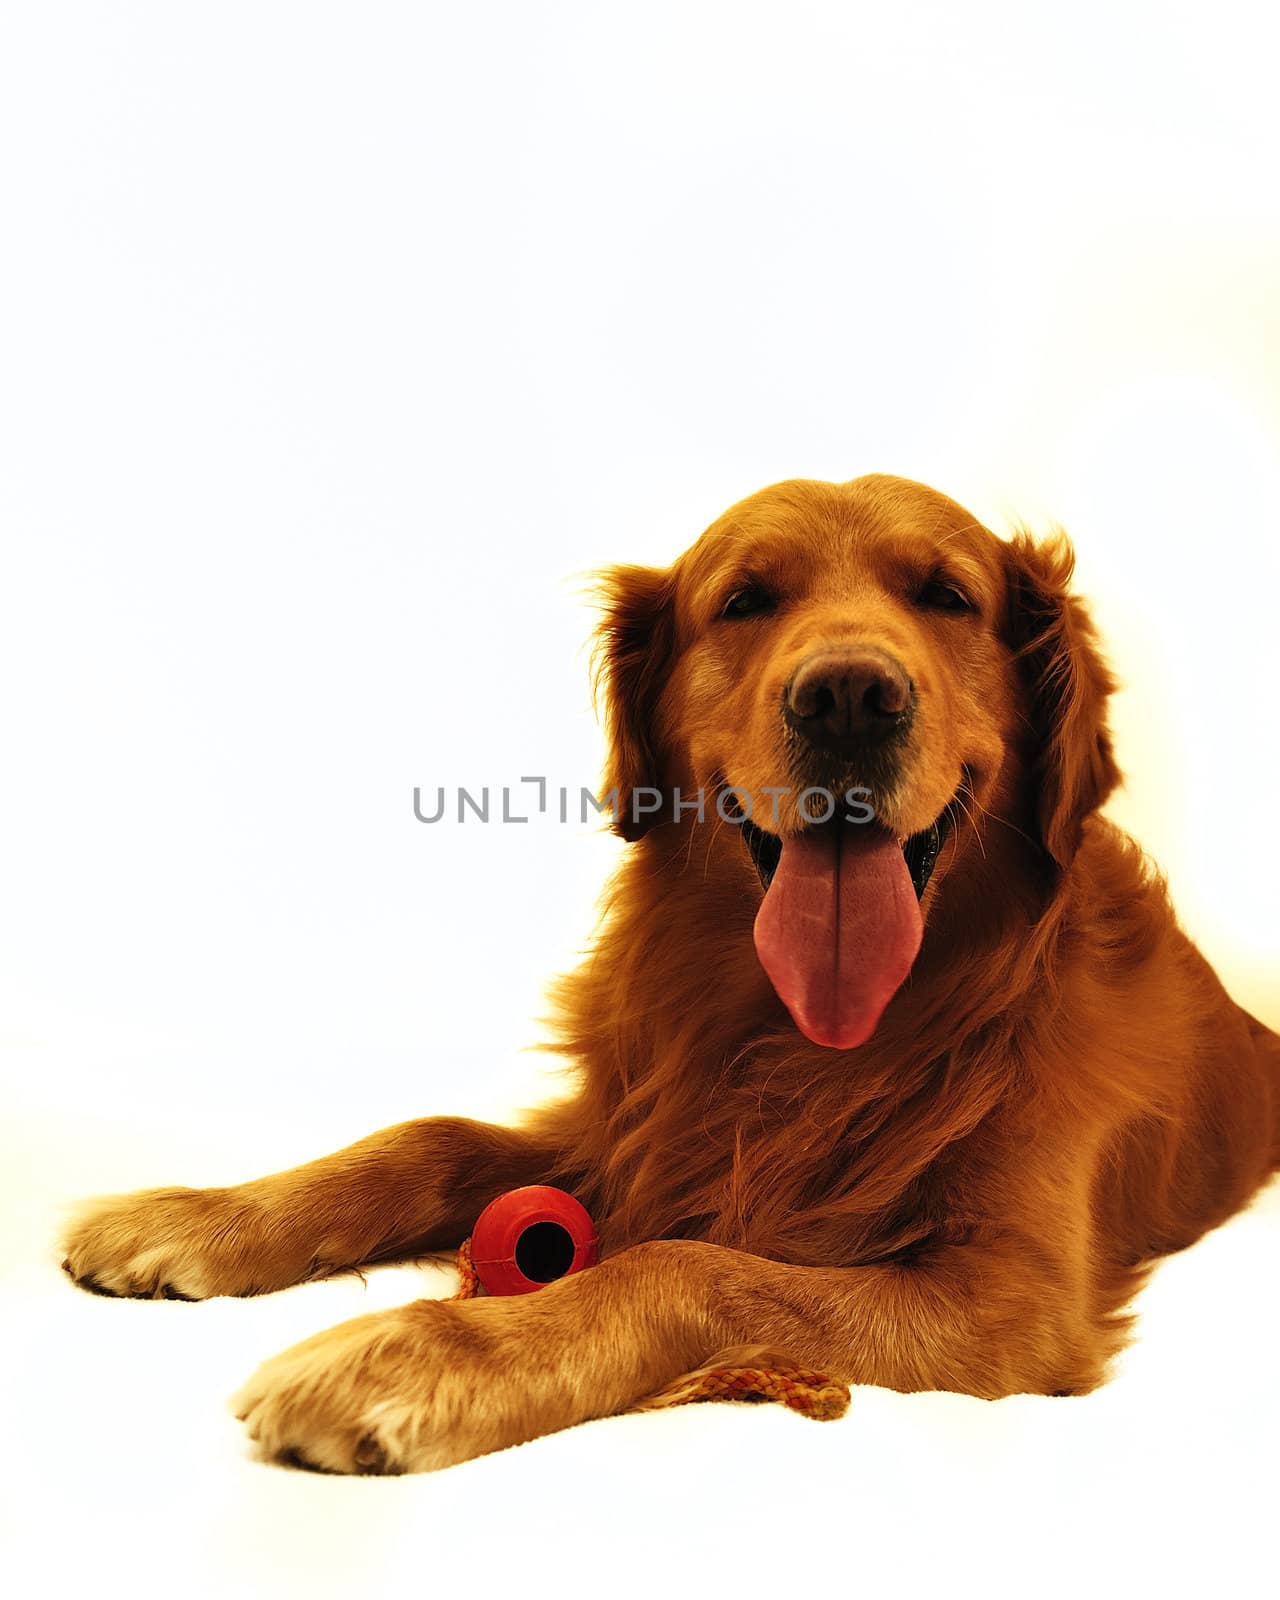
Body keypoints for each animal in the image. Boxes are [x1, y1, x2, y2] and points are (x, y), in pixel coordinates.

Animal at [62, 473, 1280, 1472]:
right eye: (743, 601)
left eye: (946, 596)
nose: (848, 696)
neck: (809, 1038)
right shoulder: (633, 1127)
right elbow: (431, 1137)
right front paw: (197, 1215)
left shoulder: (1011, 1298)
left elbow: (691, 1266)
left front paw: (422, 1351)